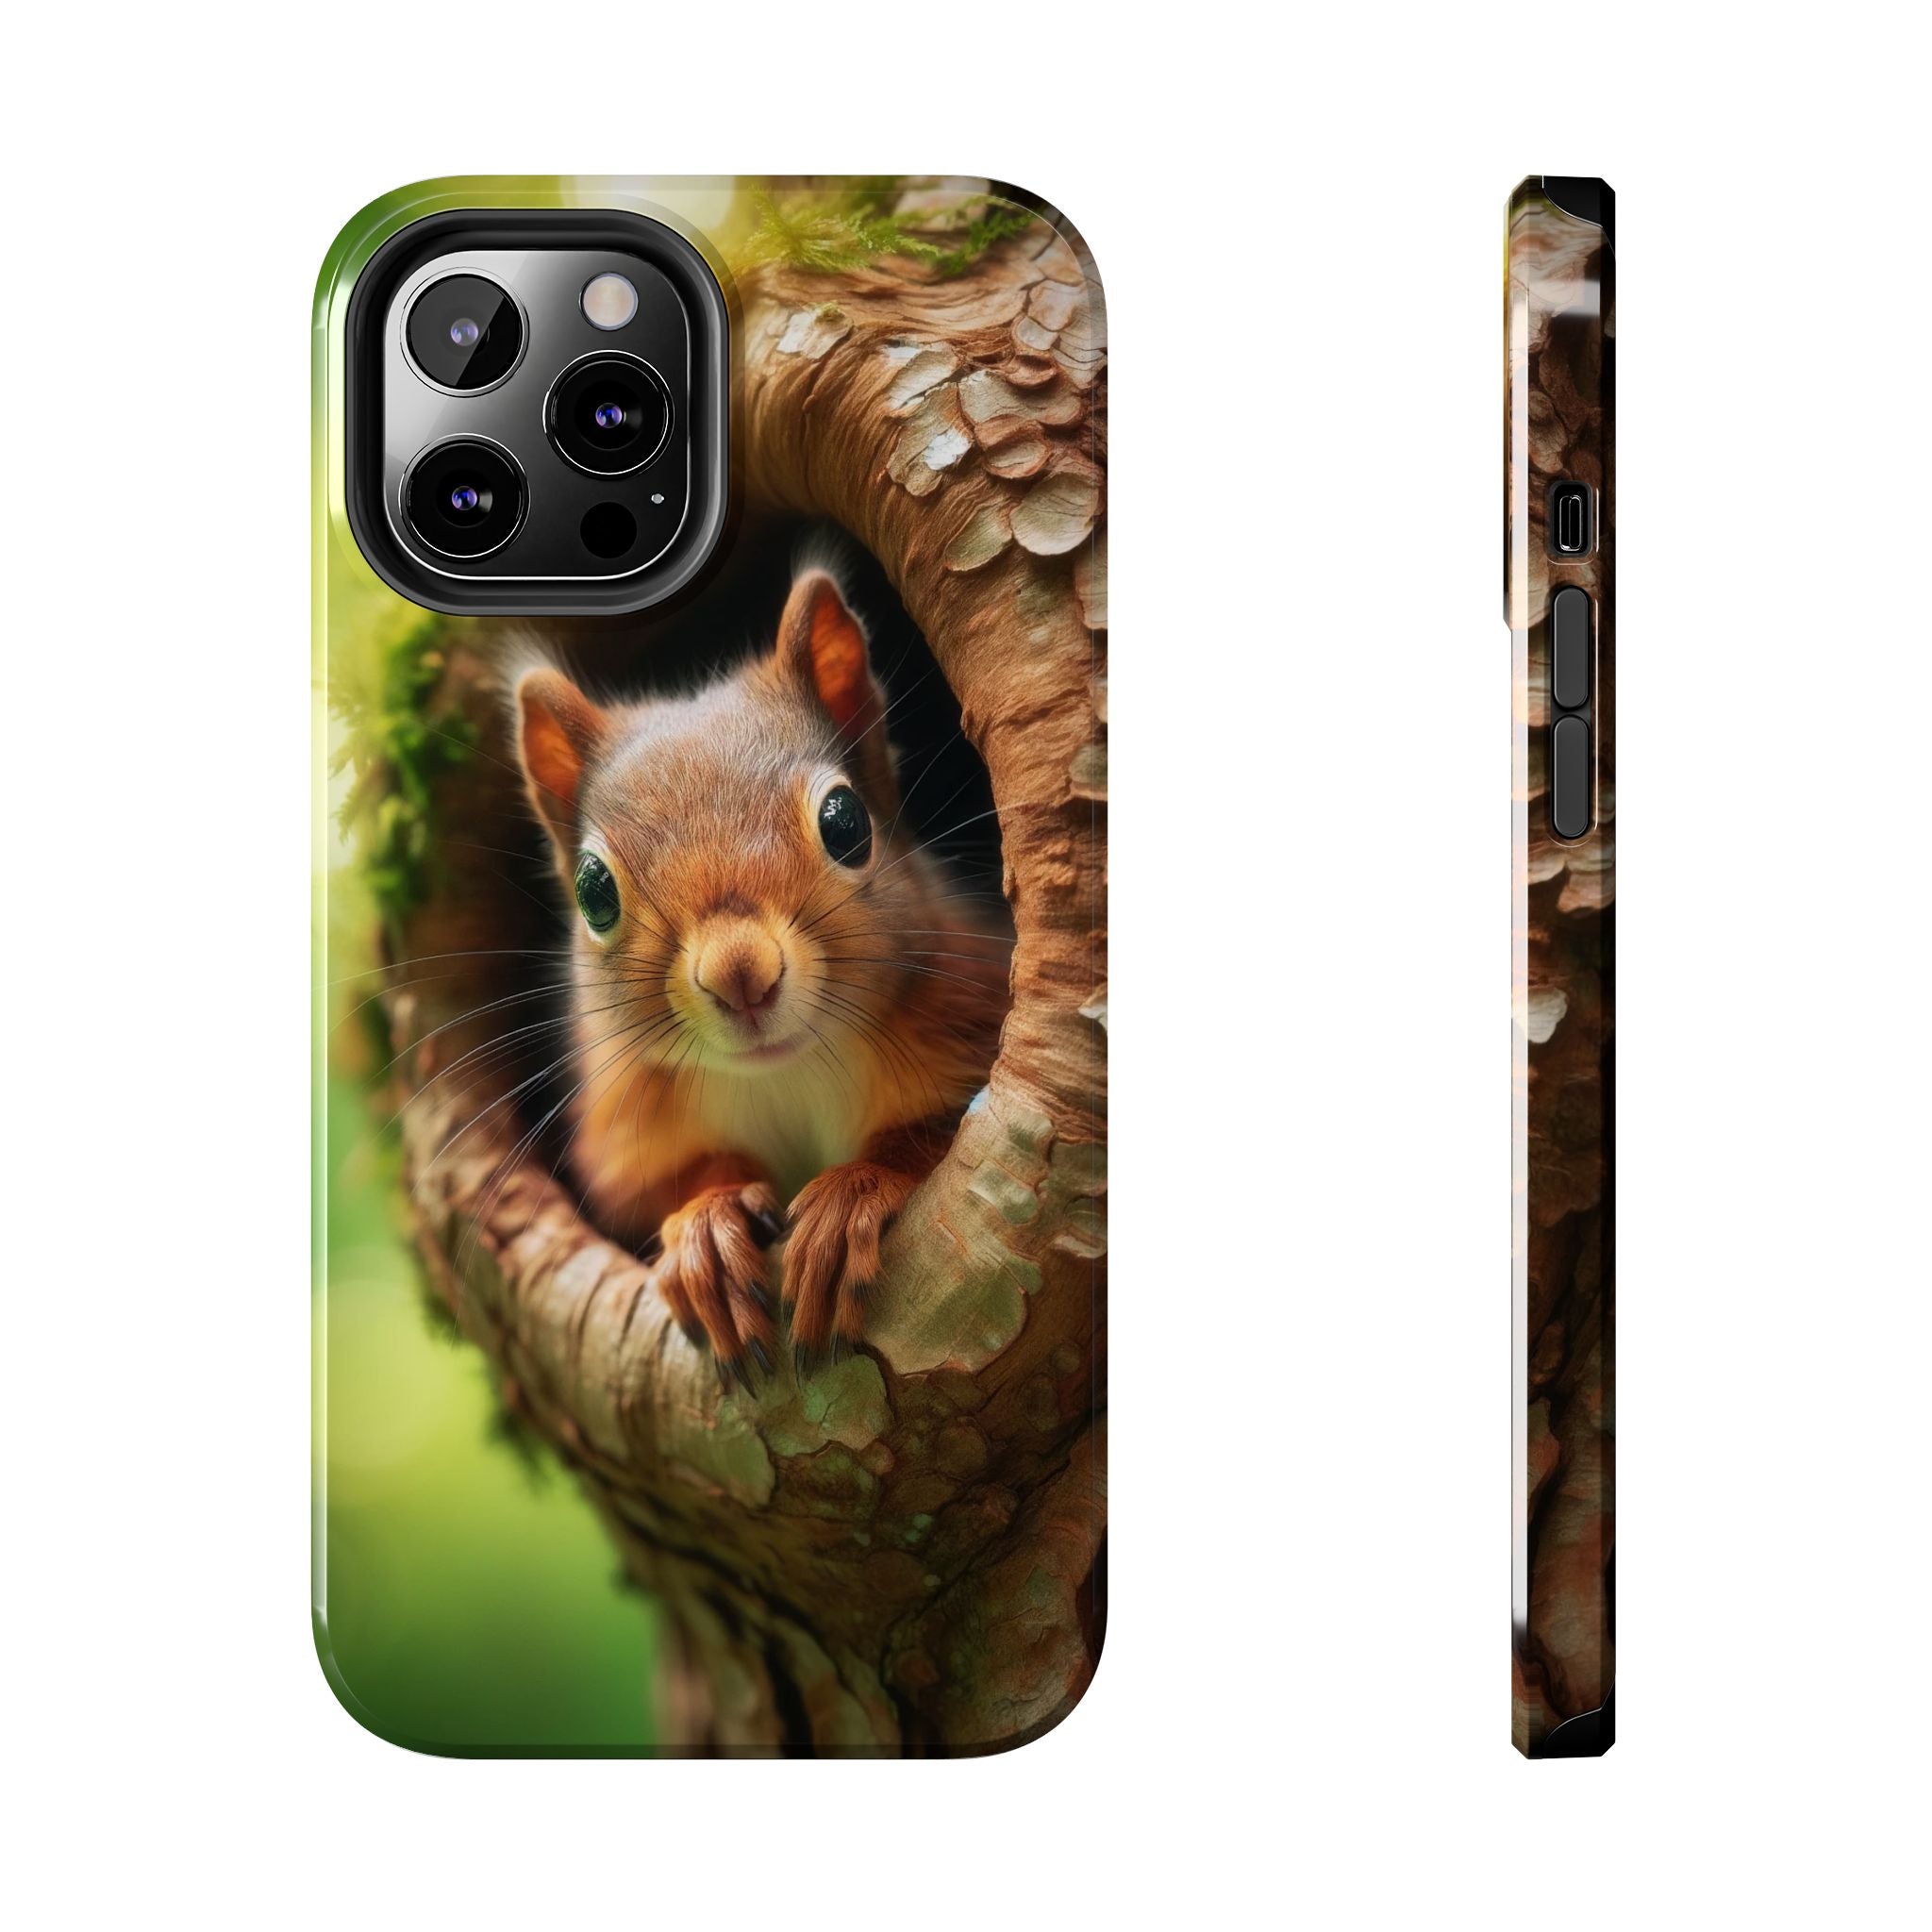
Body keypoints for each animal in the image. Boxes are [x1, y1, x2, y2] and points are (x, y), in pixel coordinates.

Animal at [514, 569, 1010, 1390]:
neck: (786, 1074)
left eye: (846, 823)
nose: (739, 974)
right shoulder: (625, 1130)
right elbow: (658, 1189)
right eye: (593, 891)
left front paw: (849, 1197)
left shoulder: (970, 1007)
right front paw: (707, 1230)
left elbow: (934, 1135)